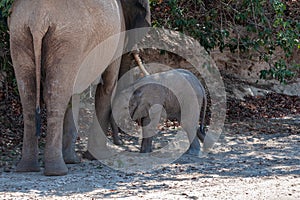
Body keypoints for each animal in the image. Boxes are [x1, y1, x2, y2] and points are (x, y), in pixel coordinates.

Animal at [9, 0, 150, 176]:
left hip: (19, 33)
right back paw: (57, 171)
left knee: (29, 94)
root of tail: (38, 20)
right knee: (56, 95)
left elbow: (73, 95)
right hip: (68, 40)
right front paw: (95, 157)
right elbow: (107, 86)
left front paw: (73, 160)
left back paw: (28, 168)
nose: (119, 142)